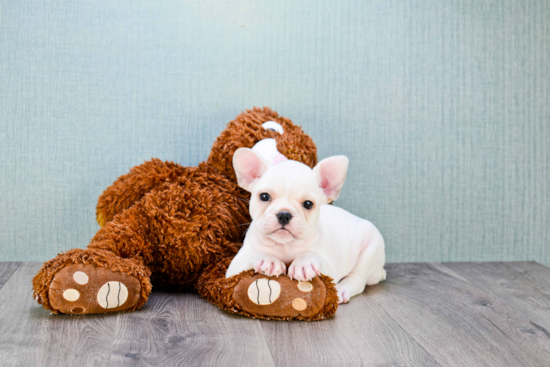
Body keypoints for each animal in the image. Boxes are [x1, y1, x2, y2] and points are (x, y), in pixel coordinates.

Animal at [225, 148, 388, 304]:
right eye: (264, 196)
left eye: (308, 204)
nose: (284, 214)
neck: (285, 245)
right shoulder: (234, 266)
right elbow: (253, 255)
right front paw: (268, 259)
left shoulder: (328, 268)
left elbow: (311, 255)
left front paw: (304, 263)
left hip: (371, 247)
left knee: (357, 279)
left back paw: (342, 290)